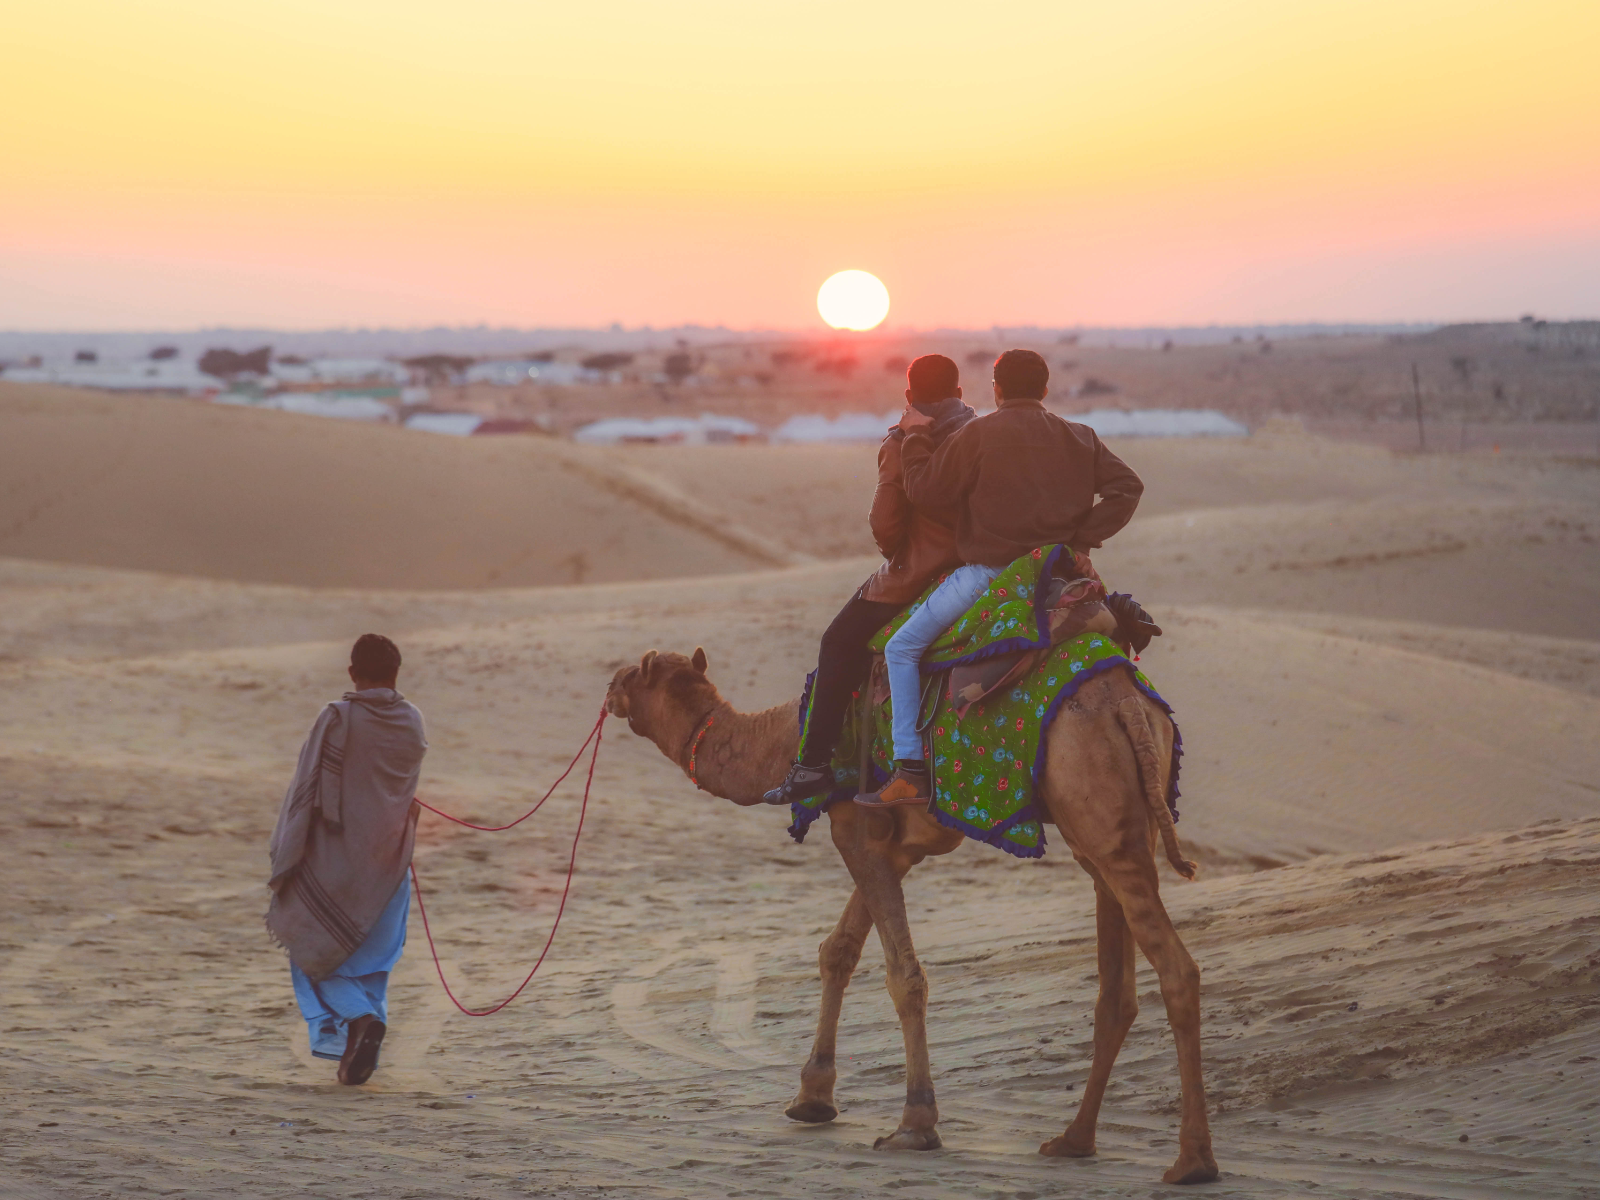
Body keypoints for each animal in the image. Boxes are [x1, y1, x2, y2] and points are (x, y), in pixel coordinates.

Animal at [604, 649, 1216, 1184]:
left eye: (638, 671)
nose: (609, 686)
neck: (785, 740)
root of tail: (1128, 704)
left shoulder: (857, 828)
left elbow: (904, 975)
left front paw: (915, 1124)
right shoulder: (893, 846)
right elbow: (839, 950)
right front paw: (812, 1097)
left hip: (1094, 808)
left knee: (1178, 970)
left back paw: (1191, 1162)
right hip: (1112, 828)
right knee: (1118, 987)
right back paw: (1074, 1140)